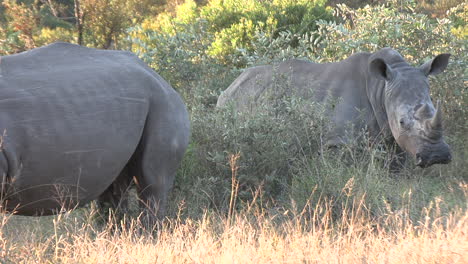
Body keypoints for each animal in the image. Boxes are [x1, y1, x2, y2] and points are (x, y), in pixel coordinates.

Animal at [219, 48, 454, 167]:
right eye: (402, 122)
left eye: (434, 111)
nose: (437, 156)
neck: (380, 89)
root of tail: (230, 85)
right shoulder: (337, 141)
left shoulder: (391, 138)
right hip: (235, 100)